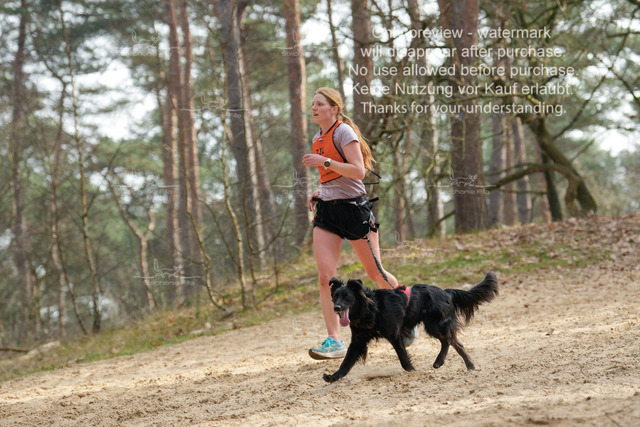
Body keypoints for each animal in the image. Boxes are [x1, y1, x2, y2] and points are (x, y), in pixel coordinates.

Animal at [323, 272, 498, 383]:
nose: (336, 308)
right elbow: (346, 362)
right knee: (452, 342)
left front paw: (411, 371)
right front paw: (333, 377)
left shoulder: (395, 335)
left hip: (435, 325)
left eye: (347, 297)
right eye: (335, 297)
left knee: (451, 341)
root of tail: (446, 292)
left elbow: (403, 358)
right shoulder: (358, 341)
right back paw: (460, 365)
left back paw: (453, 363)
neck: (371, 309)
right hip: (435, 326)